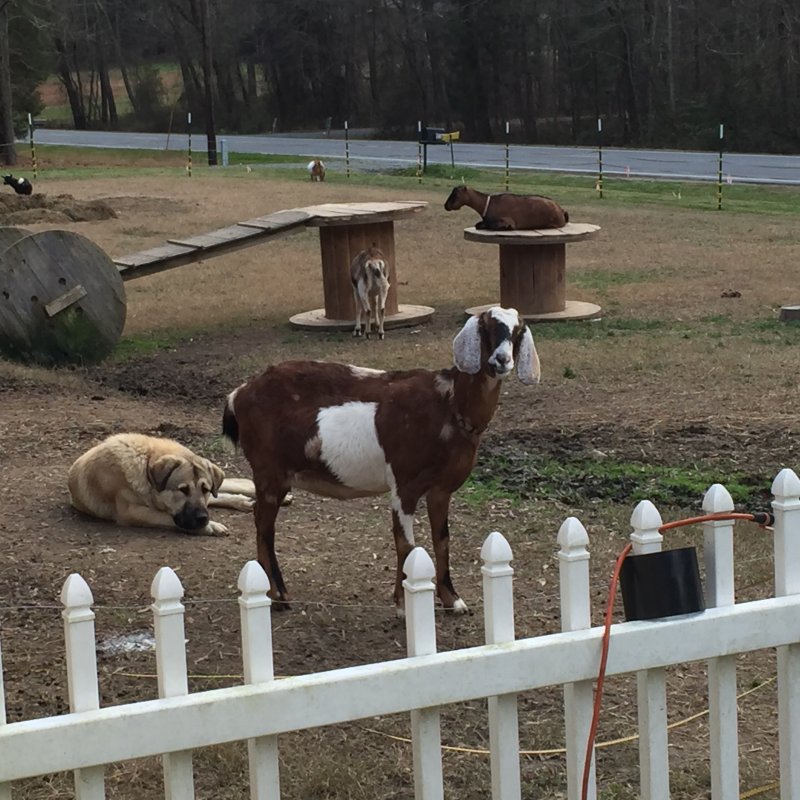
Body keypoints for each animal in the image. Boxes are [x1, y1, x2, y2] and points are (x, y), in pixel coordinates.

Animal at [69, 432, 260, 536]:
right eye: (183, 490)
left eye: (205, 489)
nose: (202, 518)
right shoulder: (132, 512)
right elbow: (167, 518)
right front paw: (211, 526)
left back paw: (244, 499)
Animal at [222, 306, 540, 612]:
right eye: (486, 327)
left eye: (517, 332)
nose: (501, 360)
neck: (448, 403)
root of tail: (238, 394)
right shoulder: (403, 484)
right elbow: (406, 544)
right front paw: (403, 605)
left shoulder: (441, 489)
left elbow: (442, 540)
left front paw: (453, 600)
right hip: (268, 471)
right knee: (265, 527)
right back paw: (278, 595)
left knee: (261, 521)